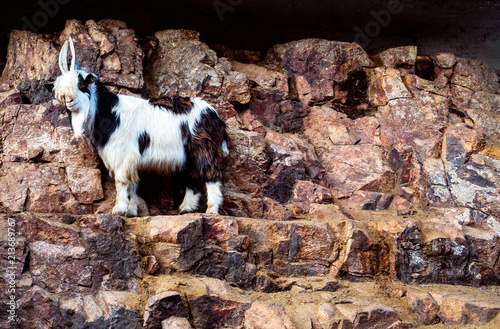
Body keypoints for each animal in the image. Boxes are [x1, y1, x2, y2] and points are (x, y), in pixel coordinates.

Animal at [52, 37, 229, 217]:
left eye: (81, 84)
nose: (69, 101)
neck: (110, 112)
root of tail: (215, 115)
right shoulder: (130, 157)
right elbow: (132, 184)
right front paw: (131, 211)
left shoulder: (123, 154)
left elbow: (121, 181)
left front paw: (119, 209)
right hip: (189, 154)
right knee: (192, 177)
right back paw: (186, 208)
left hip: (205, 149)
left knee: (211, 174)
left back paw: (212, 210)